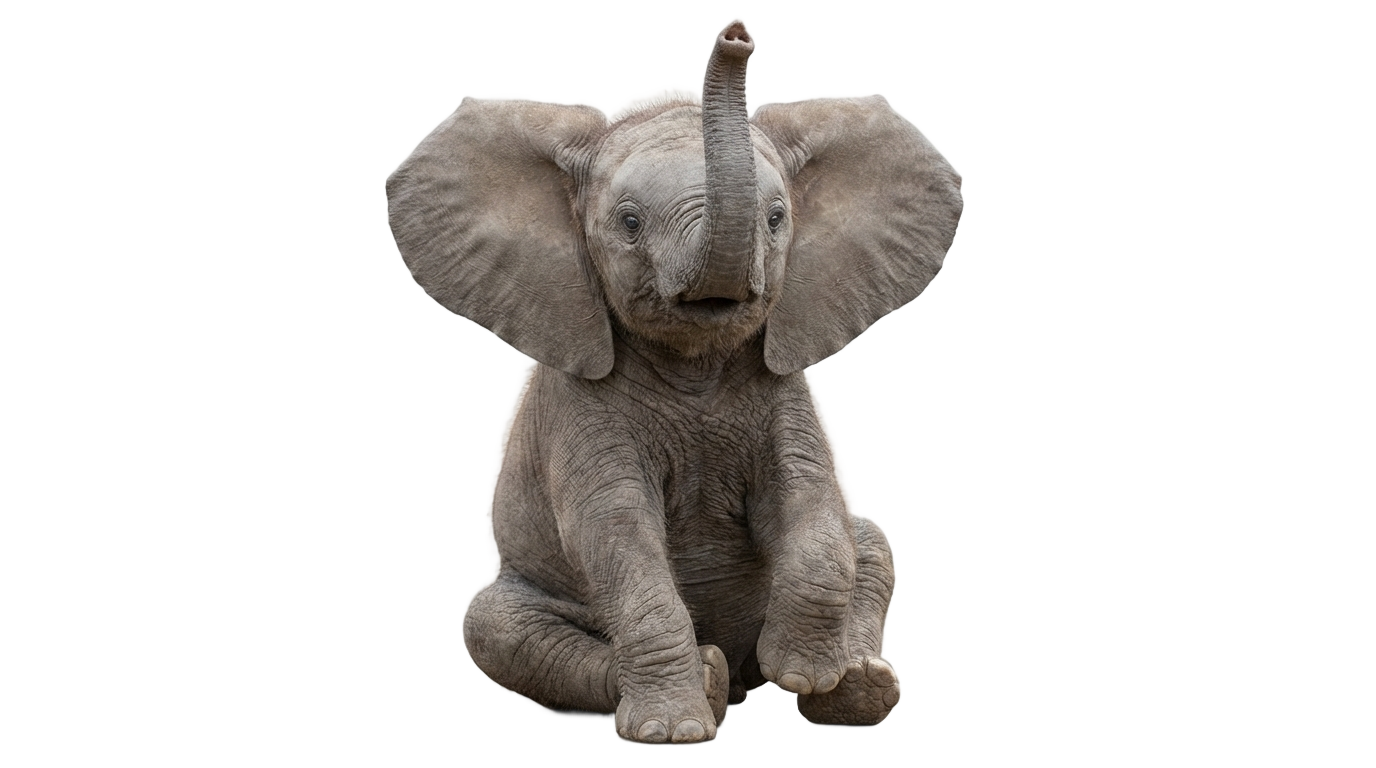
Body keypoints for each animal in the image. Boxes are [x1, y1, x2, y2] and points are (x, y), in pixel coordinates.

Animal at [384, 22, 962, 743]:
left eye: (777, 218)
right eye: (629, 223)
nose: (737, 35)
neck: (695, 357)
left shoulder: (781, 389)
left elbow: (809, 496)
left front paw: (804, 675)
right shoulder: (579, 406)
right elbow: (613, 530)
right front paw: (674, 734)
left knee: (872, 543)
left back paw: (852, 692)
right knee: (497, 629)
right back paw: (711, 682)